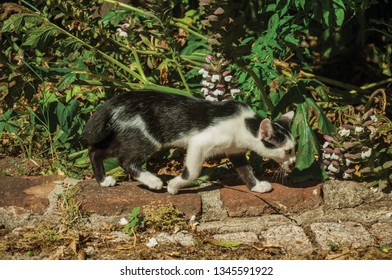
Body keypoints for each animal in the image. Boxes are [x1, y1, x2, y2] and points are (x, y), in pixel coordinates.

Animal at [83, 92, 298, 195]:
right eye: (287, 151)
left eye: (295, 148)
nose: (294, 162)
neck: (244, 126)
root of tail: (119, 99)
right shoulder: (199, 142)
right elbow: (192, 172)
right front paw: (174, 186)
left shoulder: (234, 150)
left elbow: (246, 170)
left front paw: (256, 186)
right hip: (146, 138)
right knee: (125, 160)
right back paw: (153, 181)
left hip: (127, 134)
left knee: (95, 150)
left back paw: (103, 180)